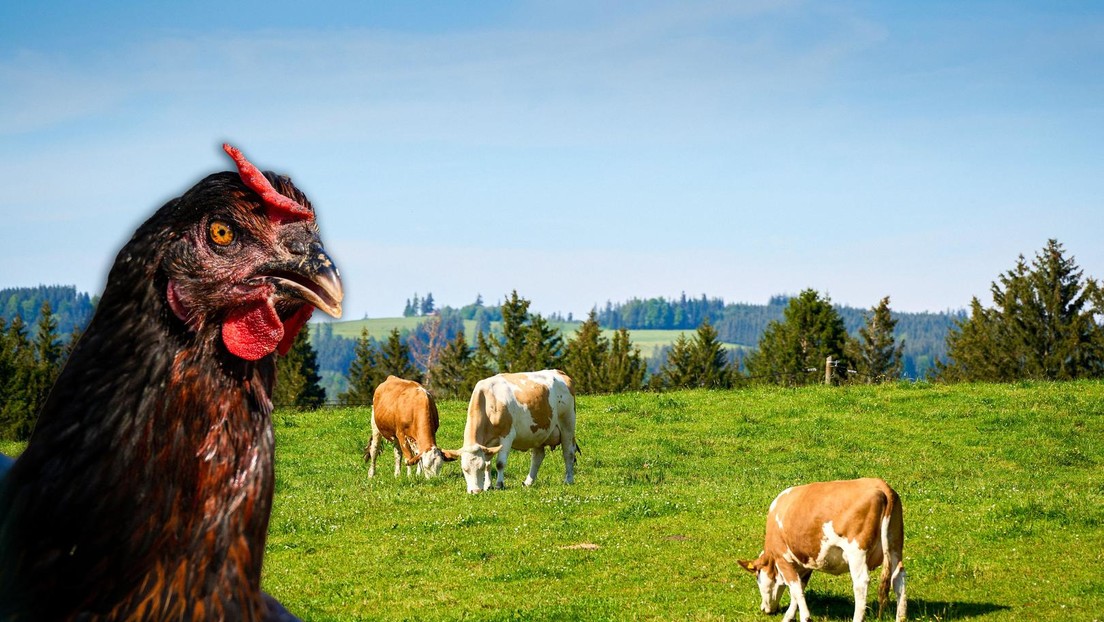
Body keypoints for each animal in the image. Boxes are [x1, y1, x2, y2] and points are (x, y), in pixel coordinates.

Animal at [441, 369, 578, 497]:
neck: (488, 401)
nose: (475, 491)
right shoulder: (487, 445)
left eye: (479, 468)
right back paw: (528, 482)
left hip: (567, 424)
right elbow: (488, 464)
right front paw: (487, 486)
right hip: (538, 432)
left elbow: (499, 463)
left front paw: (499, 484)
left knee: (568, 453)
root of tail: (558, 372)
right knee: (537, 457)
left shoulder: (506, 436)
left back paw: (568, 480)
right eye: (464, 469)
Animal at [737, 477, 909, 622]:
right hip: (895, 546)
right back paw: (900, 617)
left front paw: (804, 617)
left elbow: (795, 588)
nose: (764, 609)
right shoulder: (804, 563)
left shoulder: (782, 558)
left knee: (861, 583)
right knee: (898, 578)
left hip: (856, 551)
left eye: (757, 577)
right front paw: (789, 616)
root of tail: (881, 485)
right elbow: (798, 589)